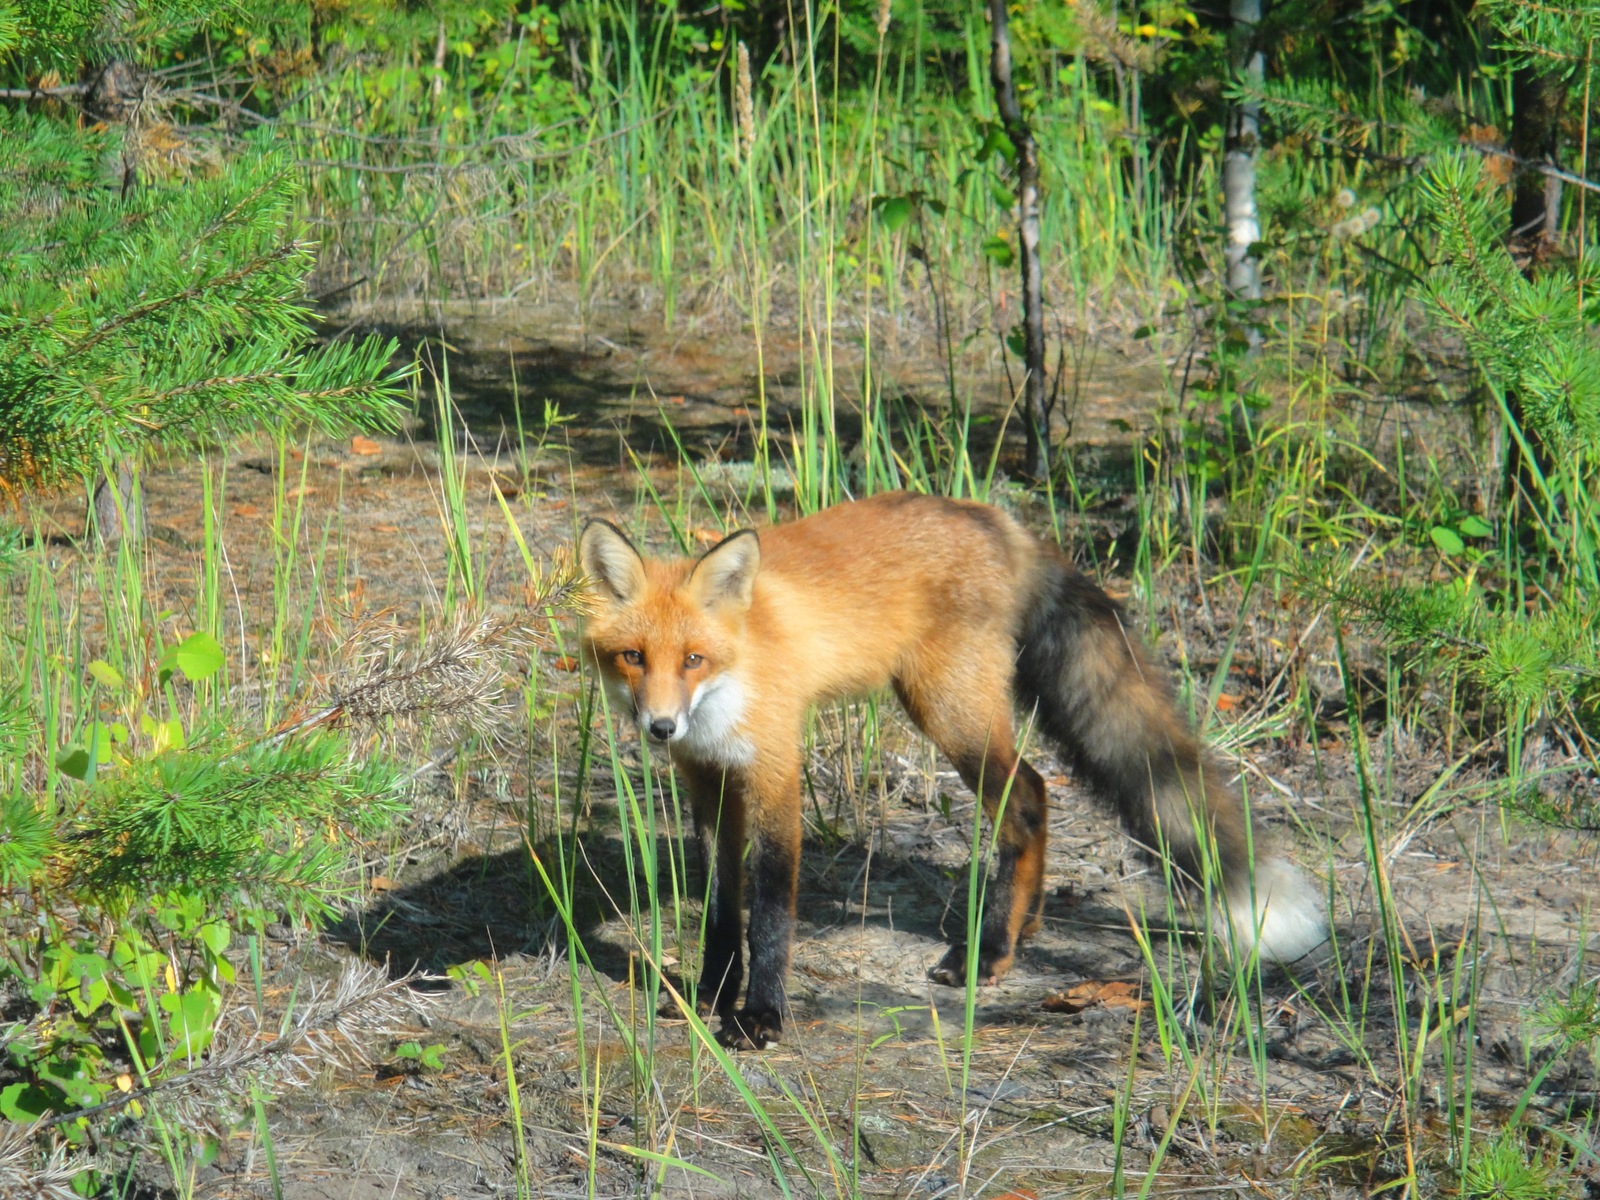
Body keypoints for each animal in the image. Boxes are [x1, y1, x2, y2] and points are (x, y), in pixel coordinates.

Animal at [576, 492, 1324, 1049]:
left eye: (693, 660)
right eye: (634, 657)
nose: (661, 727)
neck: (729, 685)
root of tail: (1002, 522)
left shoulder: (775, 776)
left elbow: (769, 911)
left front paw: (758, 1015)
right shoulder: (707, 782)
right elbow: (719, 906)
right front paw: (707, 994)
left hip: (947, 709)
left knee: (1026, 797)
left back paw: (987, 951)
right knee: (1042, 791)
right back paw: (1021, 930)